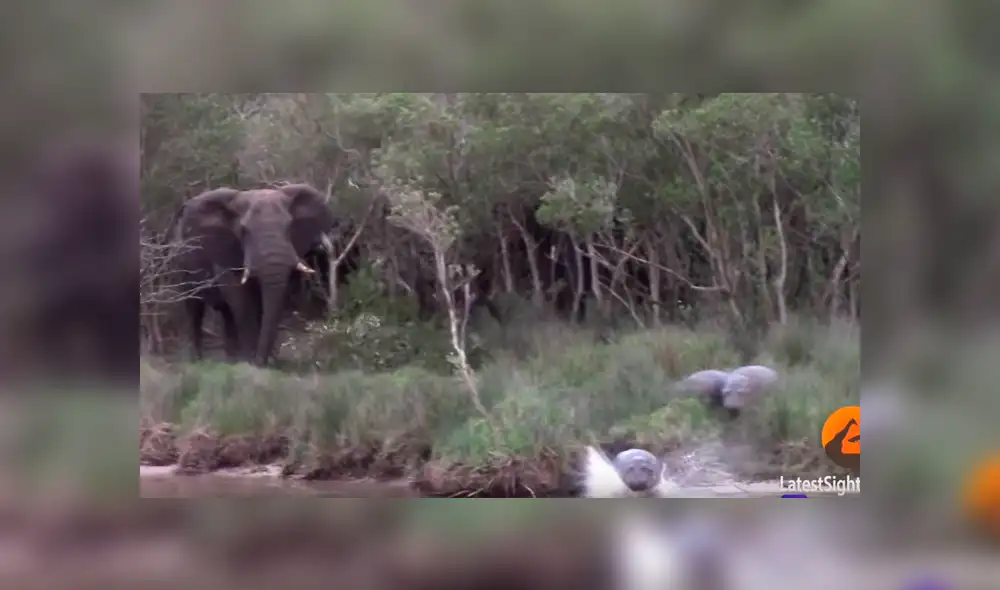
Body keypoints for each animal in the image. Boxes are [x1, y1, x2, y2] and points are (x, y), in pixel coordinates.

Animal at [173, 184, 335, 366]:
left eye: (289, 226)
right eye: (244, 230)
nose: (261, 361)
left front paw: (263, 360)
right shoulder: (226, 251)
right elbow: (240, 298)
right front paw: (251, 361)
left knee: (226, 313)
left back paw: (232, 360)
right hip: (183, 267)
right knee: (194, 309)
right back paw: (198, 361)